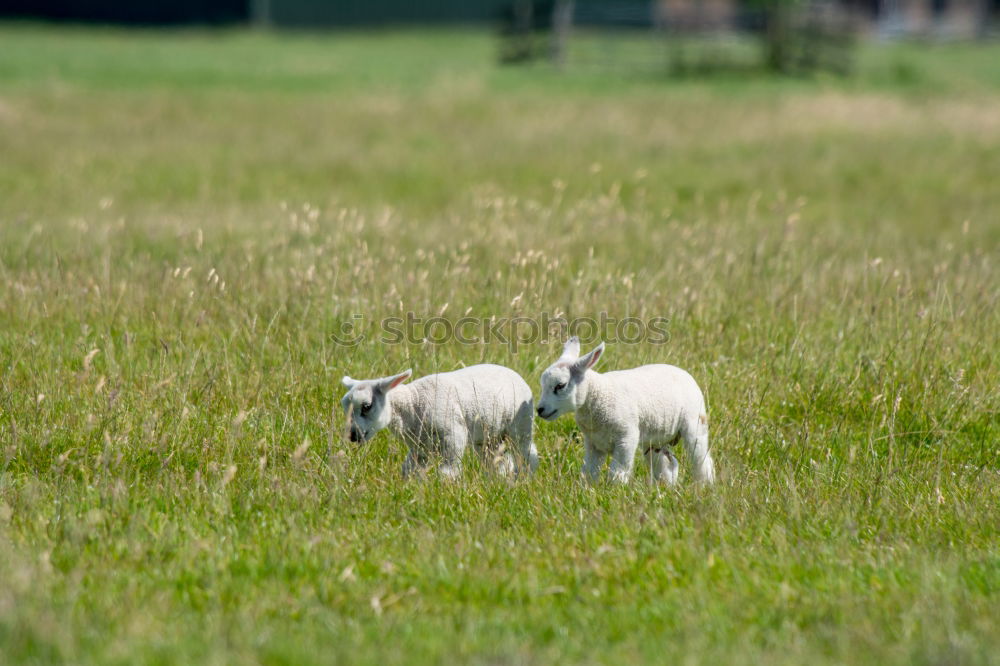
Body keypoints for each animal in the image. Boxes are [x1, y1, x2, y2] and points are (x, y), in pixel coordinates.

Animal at [340, 364, 540, 478]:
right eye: (345, 406)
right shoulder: (419, 447)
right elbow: (409, 470)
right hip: (488, 437)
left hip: (521, 424)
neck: (412, 404)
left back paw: (525, 478)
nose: (352, 435)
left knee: (527, 454)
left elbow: (447, 472)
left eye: (367, 406)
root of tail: (516, 374)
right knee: (498, 461)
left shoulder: (453, 435)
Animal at [536, 338, 716, 482]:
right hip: (656, 437)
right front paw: (587, 490)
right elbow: (589, 472)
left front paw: (614, 493)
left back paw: (704, 486)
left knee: (702, 461)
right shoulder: (593, 444)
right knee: (668, 465)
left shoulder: (626, 438)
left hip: (695, 423)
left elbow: (617, 473)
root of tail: (683, 372)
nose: (539, 410)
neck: (598, 395)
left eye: (560, 386)